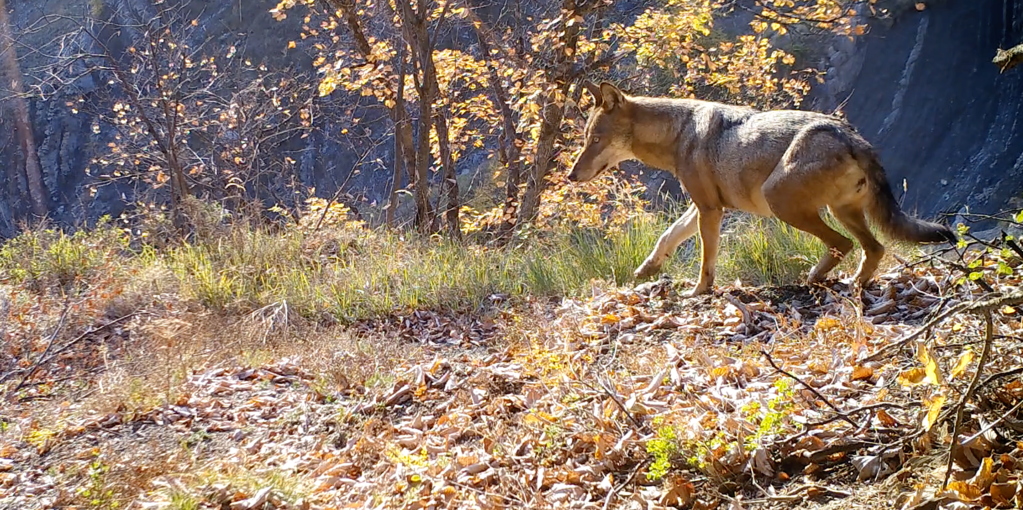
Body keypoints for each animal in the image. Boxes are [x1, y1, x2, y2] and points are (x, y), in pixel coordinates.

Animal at [568, 82, 955, 296]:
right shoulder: (702, 206)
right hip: (841, 211)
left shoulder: (710, 210)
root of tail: (852, 136)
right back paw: (853, 285)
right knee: (873, 248)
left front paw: (699, 291)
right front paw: (647, 269)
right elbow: (668, 236)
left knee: (844, 245)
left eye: (595, 140)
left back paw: (817, 279)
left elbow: (706, 260)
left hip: (784, 202)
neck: (678, 133)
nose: (571, 175)